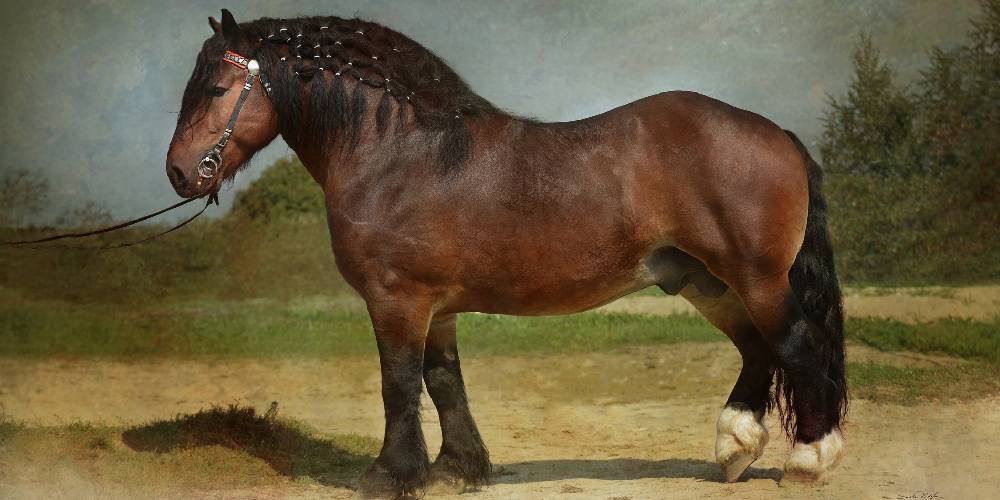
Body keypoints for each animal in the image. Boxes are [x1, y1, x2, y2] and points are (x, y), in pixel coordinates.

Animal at [166, 9, 847, 497]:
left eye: (218, 87)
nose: (178, 171)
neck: (400, 153)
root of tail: (776, 132)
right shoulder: (436, 307)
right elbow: (444, 381)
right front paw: (457, 467)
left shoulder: (397, 298)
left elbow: (398, 382)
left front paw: (391, 474)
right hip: (708, 282)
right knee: (757, 349)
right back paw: (735, 450)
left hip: (755, 278)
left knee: (796, 345)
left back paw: (808, 461)